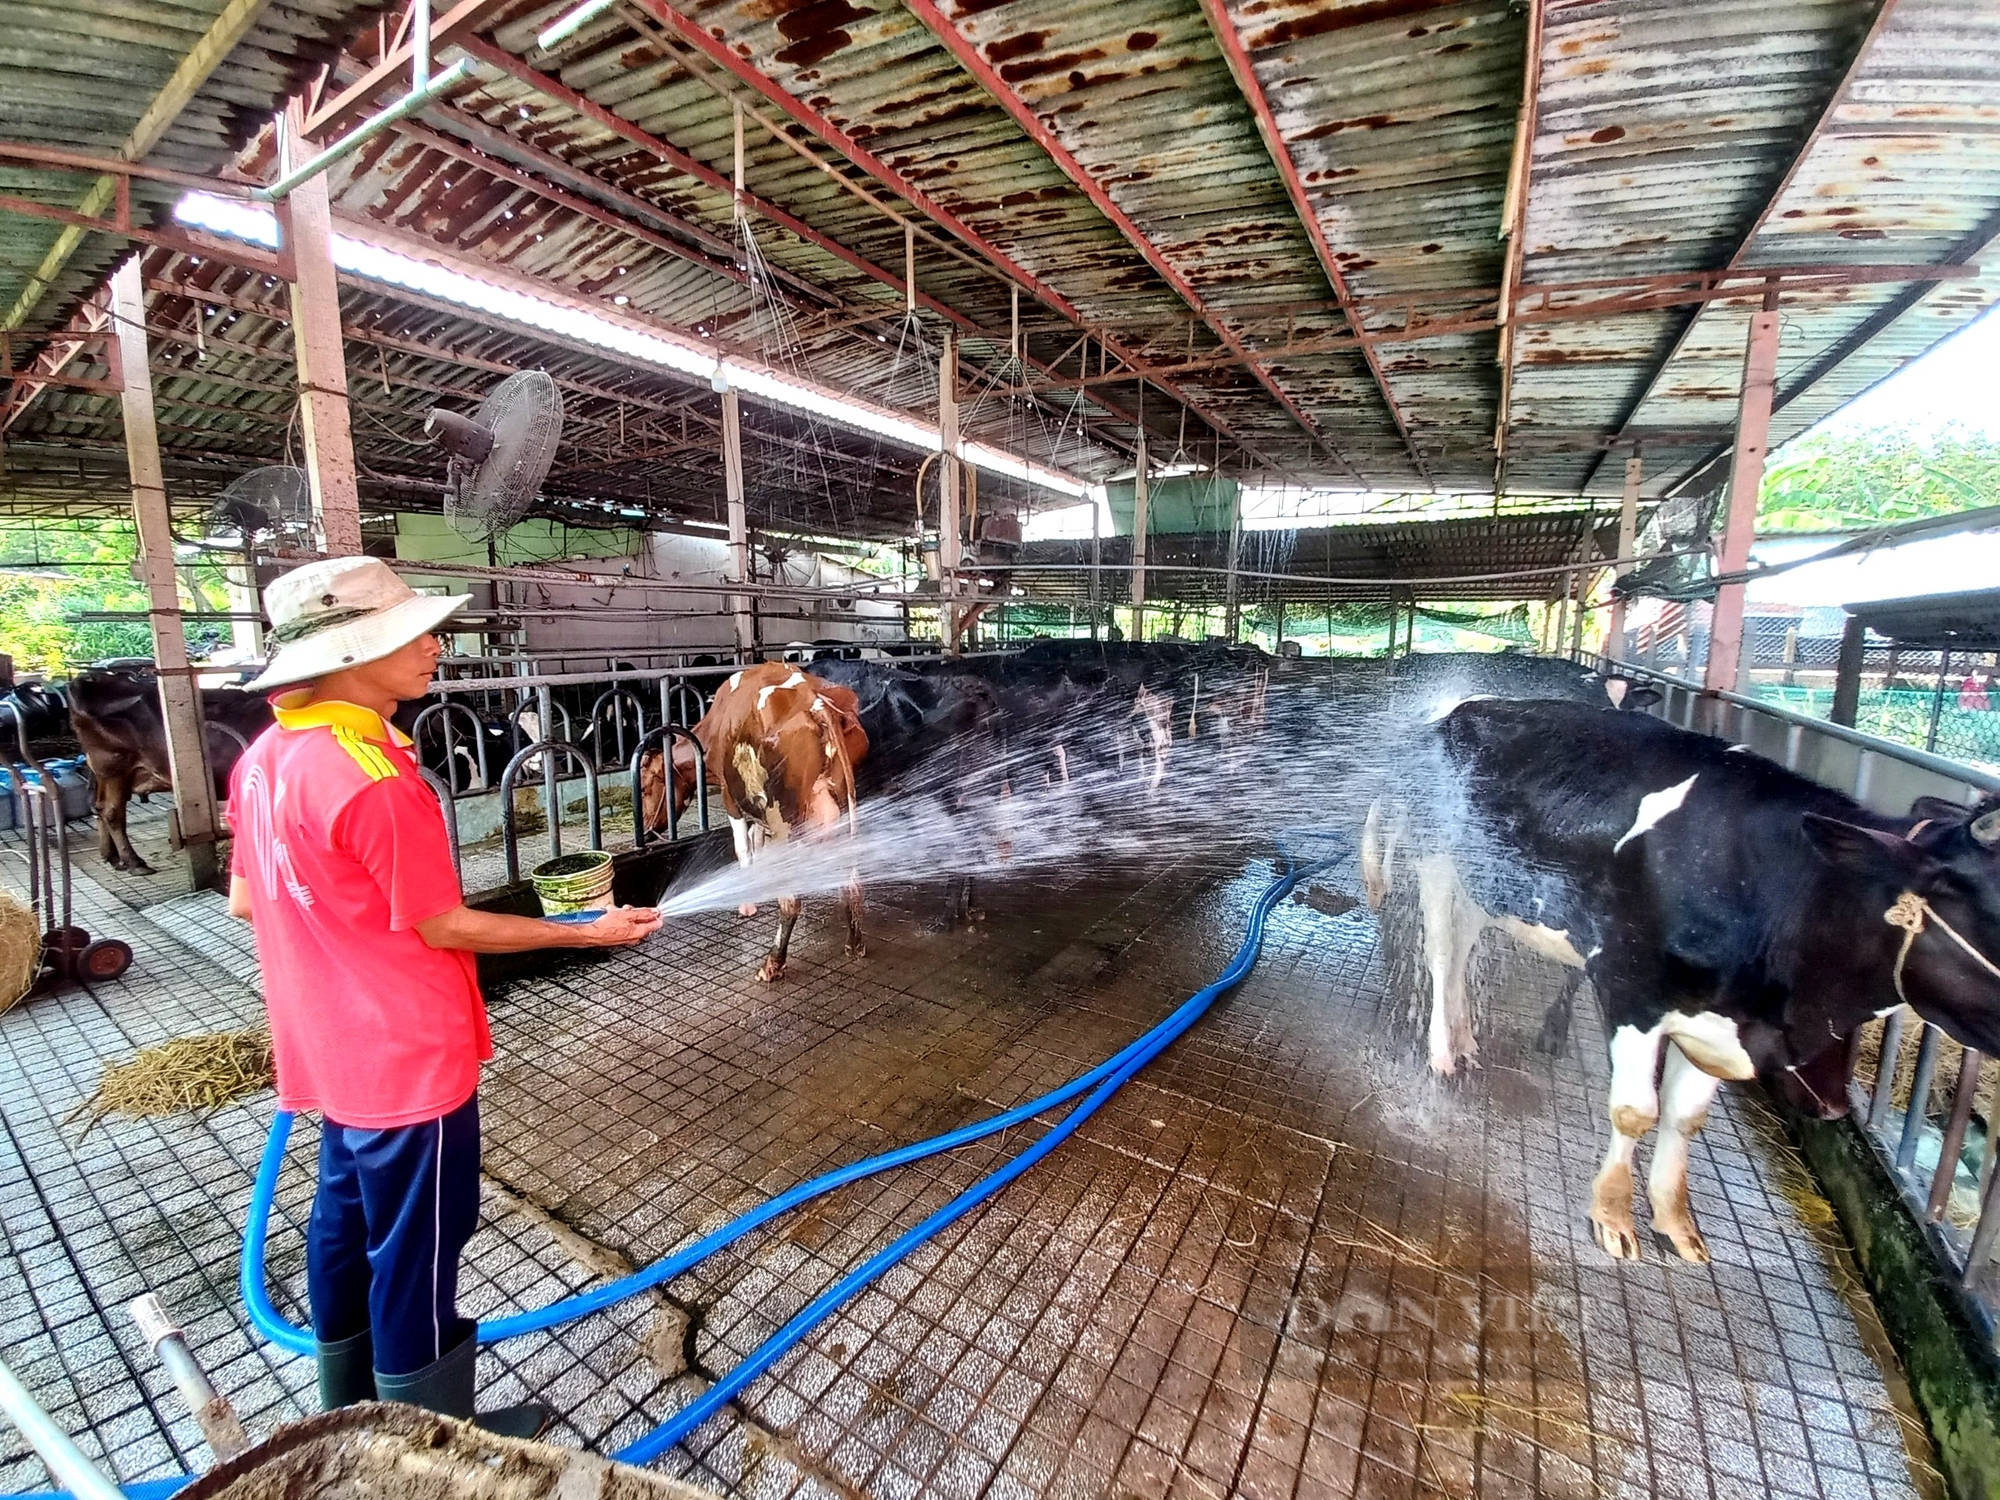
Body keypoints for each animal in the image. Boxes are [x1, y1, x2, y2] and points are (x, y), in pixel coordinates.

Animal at [67, 664, 274, 876]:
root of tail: (85, 679)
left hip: (107, 773)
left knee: (100, 807)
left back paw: (113, 858)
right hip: (114, 767)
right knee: (112, 812)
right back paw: (134, 862)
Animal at [1360, 700, 2000, 1264]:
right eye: (1975, 902)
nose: (1833, 1106)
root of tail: (1451, 714)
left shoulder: (1719, 1022)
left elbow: (1685, 1120)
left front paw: (1675, 1222)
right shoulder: (1632, 989)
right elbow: (1635, 1111)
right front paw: (1612, 1217)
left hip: (1489, 884)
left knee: (1465, 949)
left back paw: (1466, 1038)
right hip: (1438, 862)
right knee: (1443, 955)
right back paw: (1442, 1054)